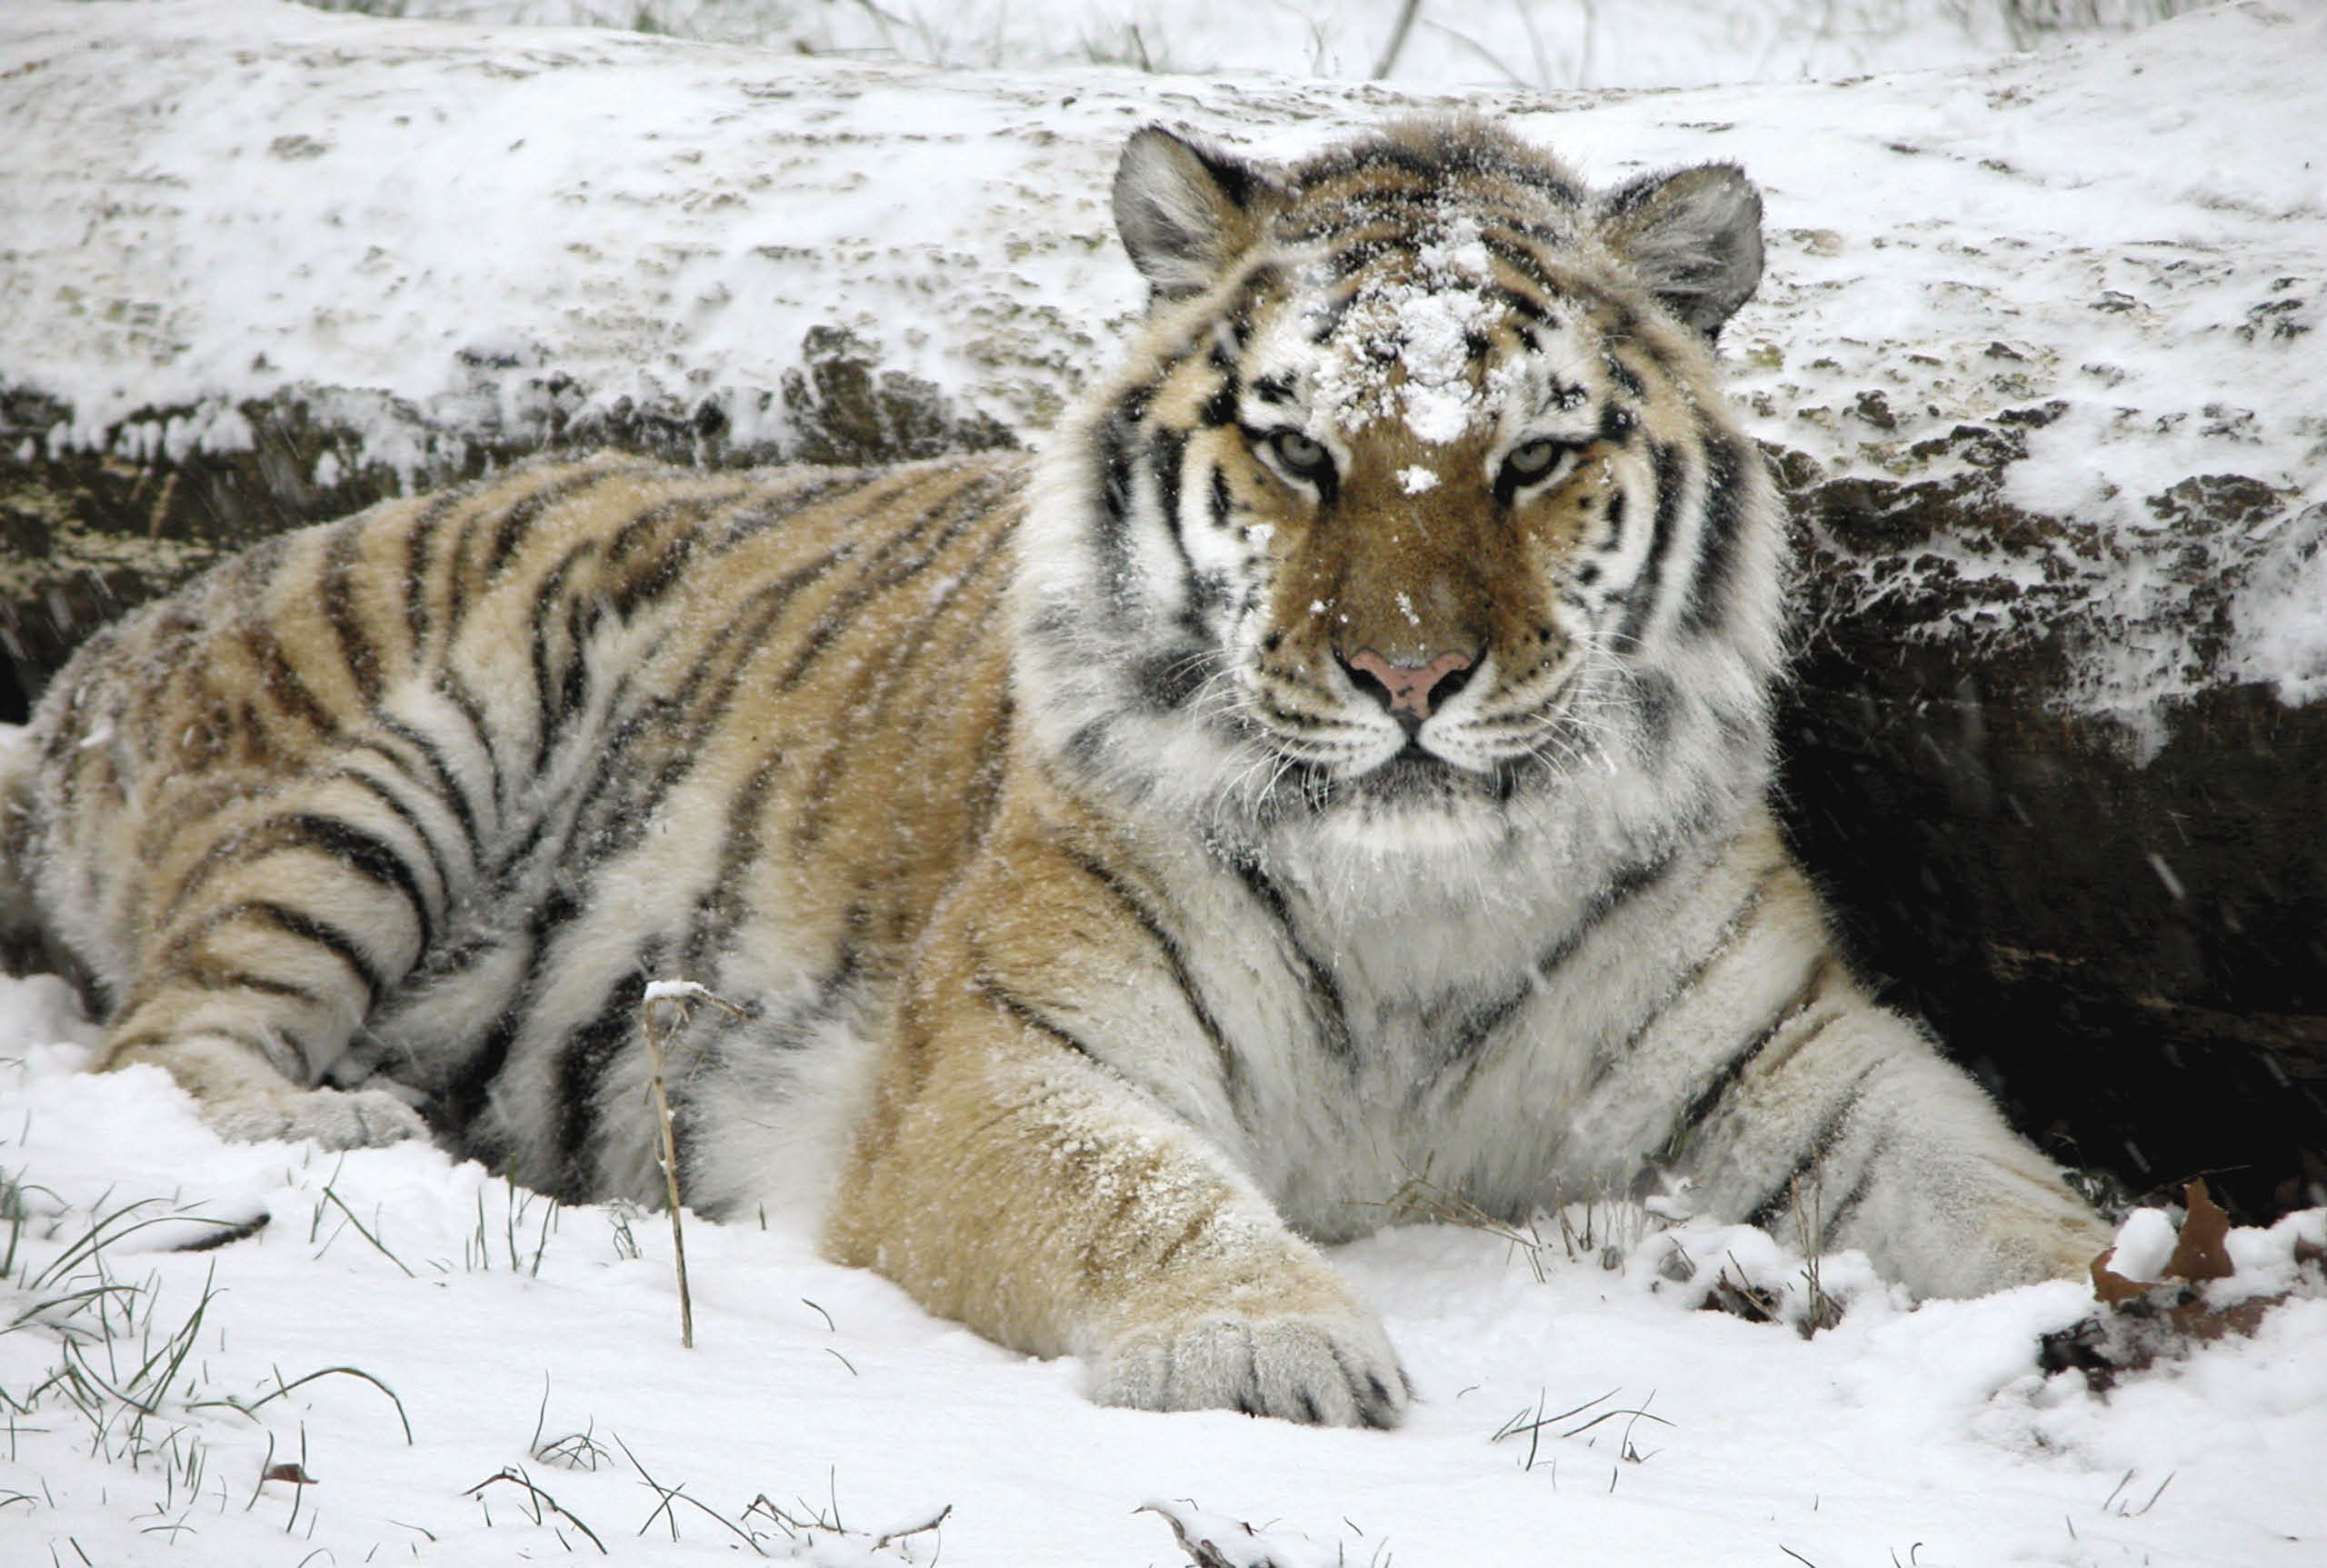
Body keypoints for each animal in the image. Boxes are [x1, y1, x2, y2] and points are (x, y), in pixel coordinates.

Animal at [0, 119, 2110, 1427]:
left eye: (1528, 459)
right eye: (1299, 452)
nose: (1408, 672)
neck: (1422, 891)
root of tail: (114, 643)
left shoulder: (1794, 1071)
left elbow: (1995, 1190)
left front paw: (2124, 1305)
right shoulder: (1008, 1052)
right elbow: (1139, 1192)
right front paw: (1268, 1346)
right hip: (409, 757)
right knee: (161, 1044)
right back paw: (346, 1130)